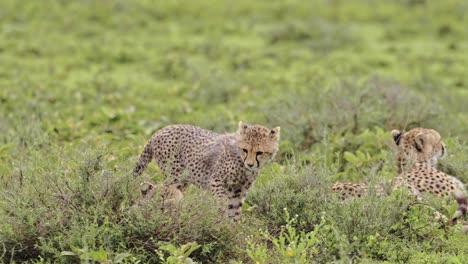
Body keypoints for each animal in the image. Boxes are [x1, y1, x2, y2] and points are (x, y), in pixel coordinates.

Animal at [133, 121, 278, 221]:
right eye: (245, 150)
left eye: (259, 152)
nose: (250, 164)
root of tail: (160, 131)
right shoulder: (216, 181)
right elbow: (222, 202)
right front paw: (221, 222)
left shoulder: (238, 191)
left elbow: (235, 211)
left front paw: (232, 230)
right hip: (176, 175)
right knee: (165, 190)